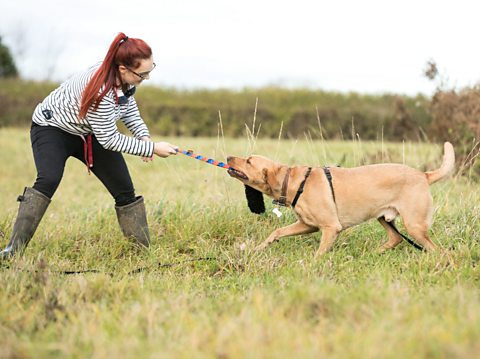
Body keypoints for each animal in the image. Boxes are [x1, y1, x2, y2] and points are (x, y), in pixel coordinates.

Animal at [227, 142, 456, 258]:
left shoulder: (330, 227)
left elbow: (319, 254)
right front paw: (257, 248)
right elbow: (277, 232)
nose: (228, 157)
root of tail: (423, 175)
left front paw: (313, 266)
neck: (294, 181)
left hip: (414, 225)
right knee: (396, 238)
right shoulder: (308, 225)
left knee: (438, 250)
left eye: (249, 161)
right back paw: (373, 254)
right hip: (383, 217)